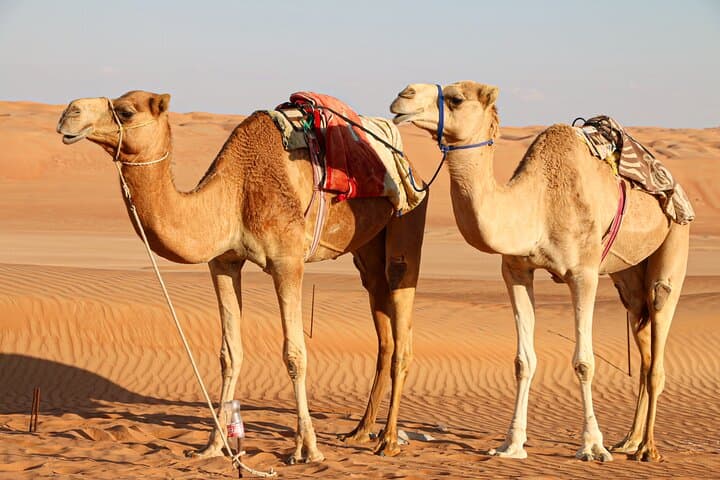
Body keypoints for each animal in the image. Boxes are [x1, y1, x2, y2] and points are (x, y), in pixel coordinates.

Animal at [55, 90, 428, 463]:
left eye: (126, 111)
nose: (68, 113)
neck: (235, 192)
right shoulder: (223, 262)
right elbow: (229, 353)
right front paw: (212, 445)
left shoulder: (287, 260)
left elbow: (295, 353)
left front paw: (307, 448)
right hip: (366, 246)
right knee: (381, 316)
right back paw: (361, 431)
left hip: (409, 213)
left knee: (400, 305)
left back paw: (388, 440)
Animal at [390, 81, 689, 462]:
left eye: (456, 99)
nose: (403, 95)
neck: (538, 206)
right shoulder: (516, 270)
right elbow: (523, 361)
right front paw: (511, 444)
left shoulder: (583, 273)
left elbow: (584, 362)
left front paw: (592, 445)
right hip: (628, 277)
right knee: (643, 337)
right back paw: (630, 440)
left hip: (675, 238)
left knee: (659, 331)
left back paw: (648, 448)